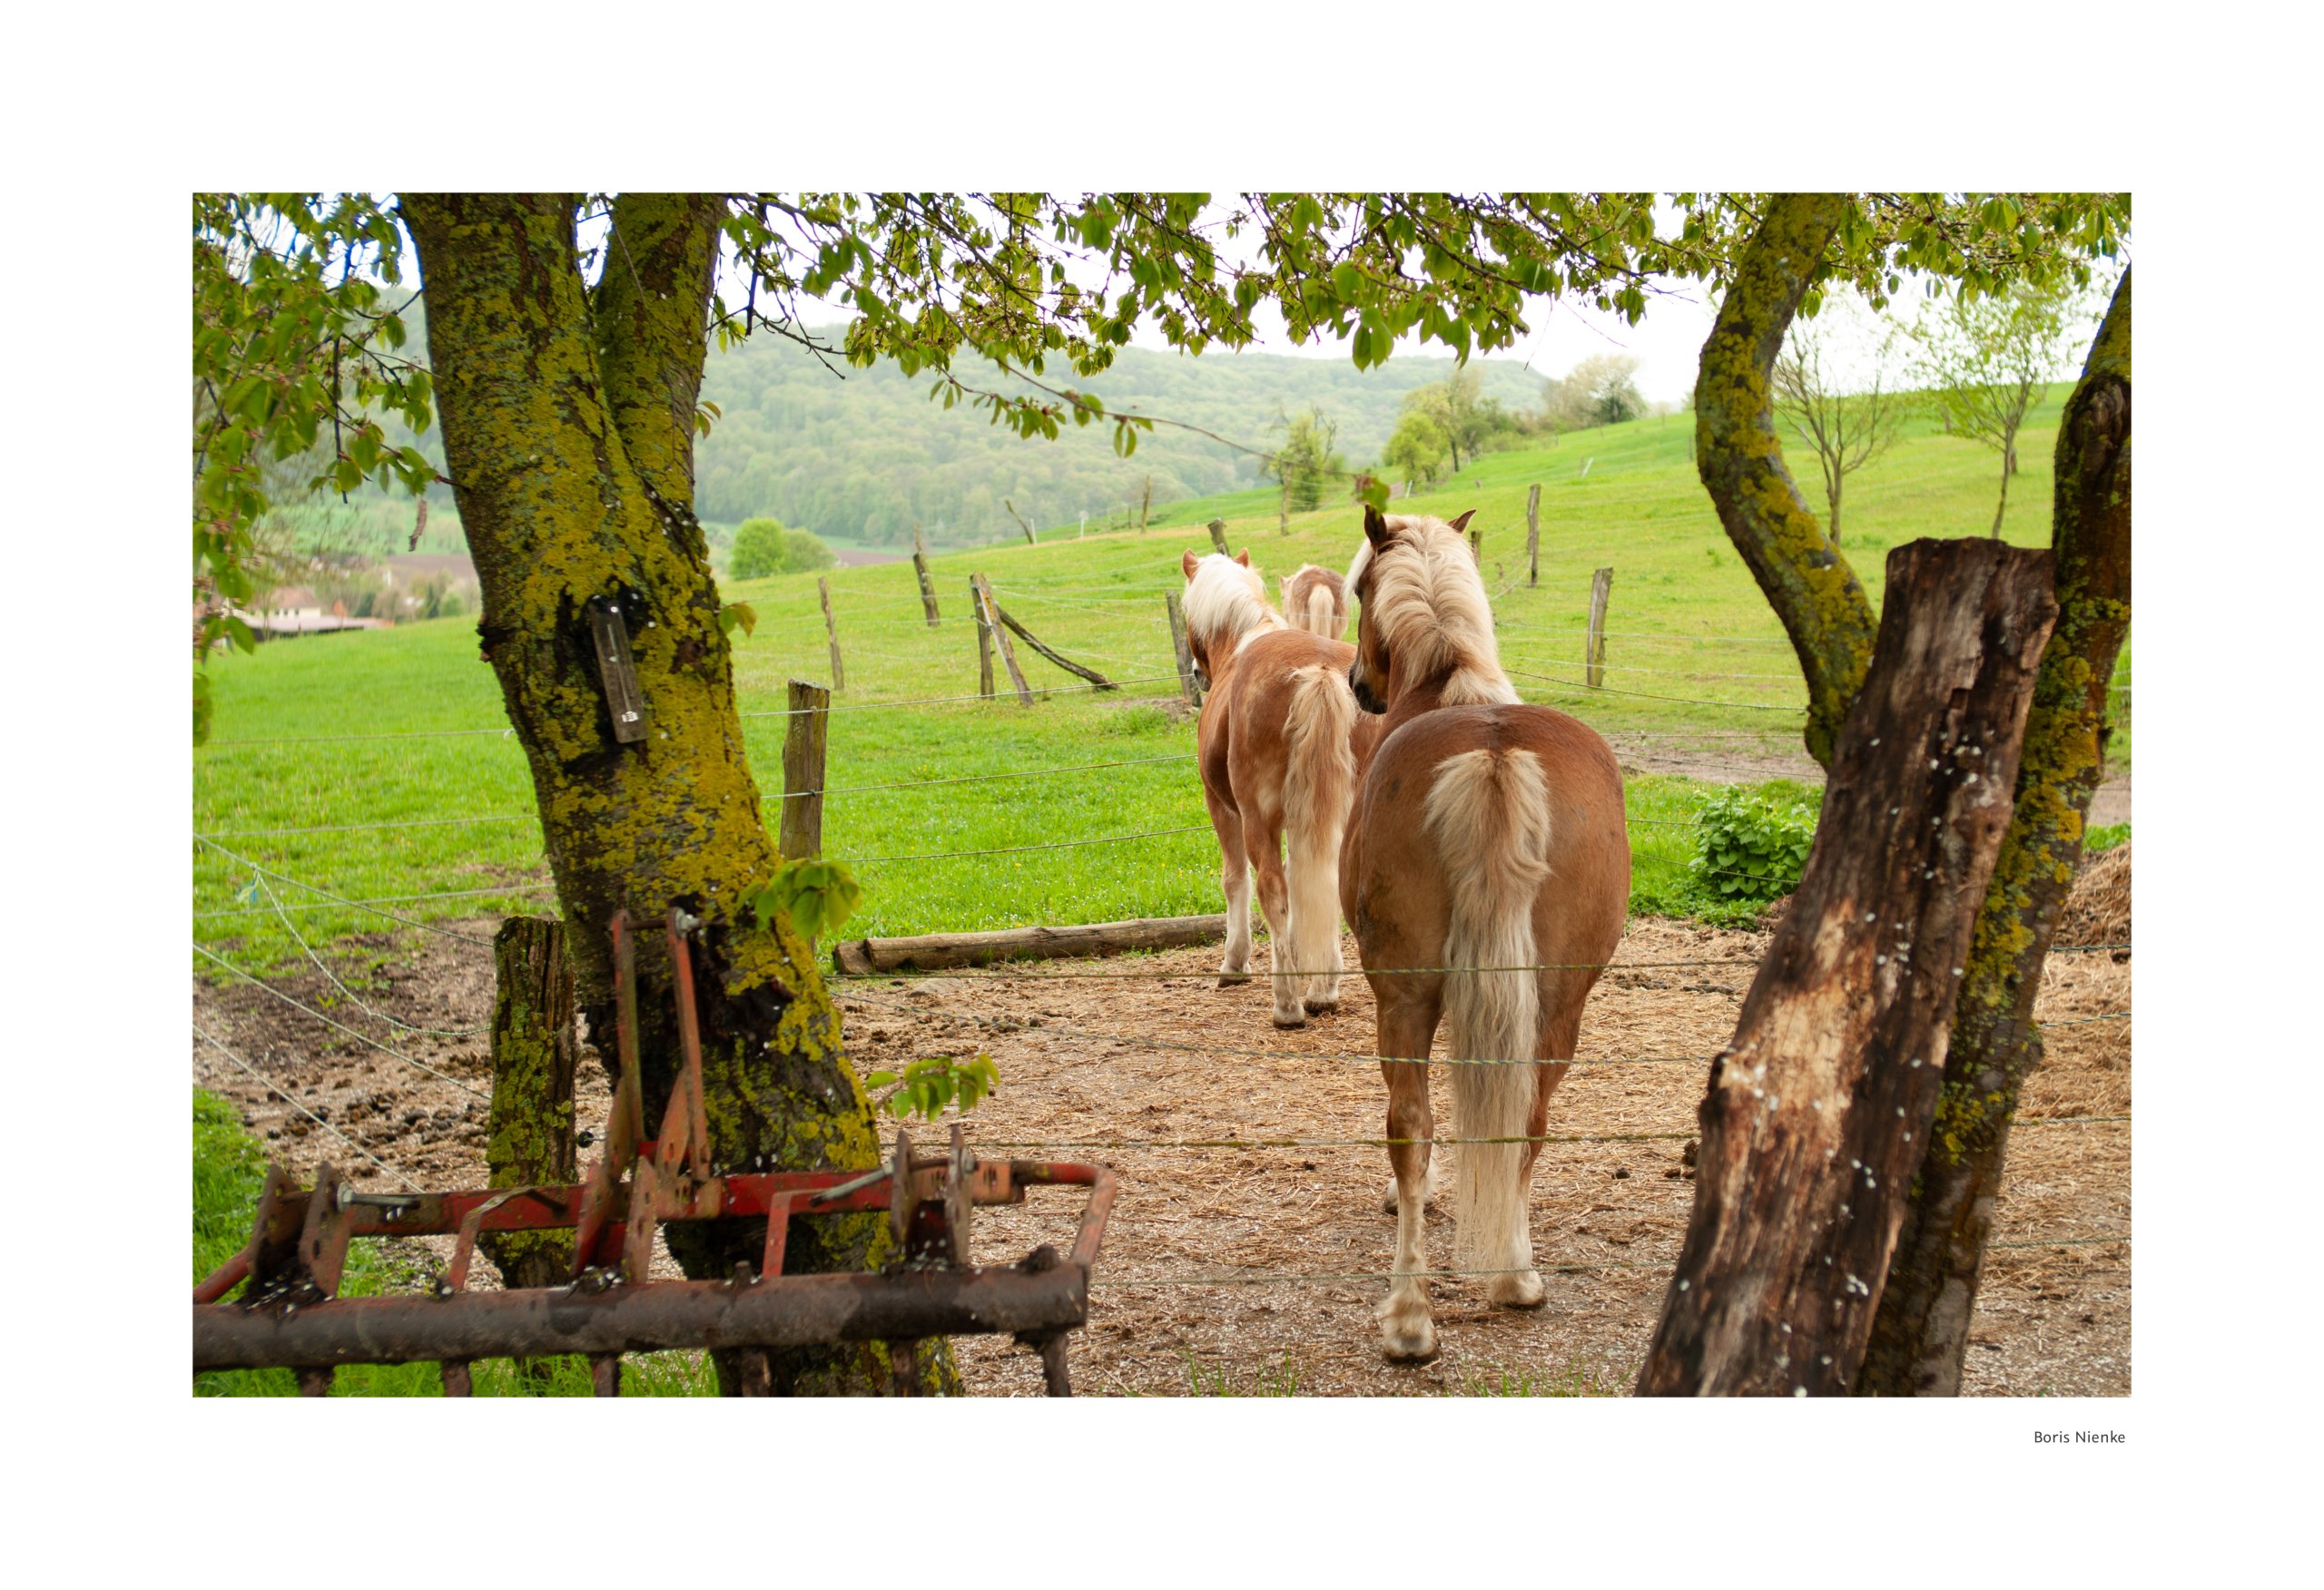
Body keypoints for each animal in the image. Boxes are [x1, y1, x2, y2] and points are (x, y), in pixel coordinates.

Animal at [1182, 547, 1383, 1028]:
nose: (1197, 671)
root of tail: (1321, 671)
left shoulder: (1223, 808)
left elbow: (1236, 881)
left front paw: (1235, 963)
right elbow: (1303, 878)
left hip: (1257, 818)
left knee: (1270, 888)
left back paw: (1287, 1004)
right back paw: (1323, 989)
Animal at [1338, 507, 1631, 1362]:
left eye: (1358, 589)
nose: (1359, 685)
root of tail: (1494, 754)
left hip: (1402, 998)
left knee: (1410, 1127)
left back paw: (1410, 1318)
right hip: (1558, 1003)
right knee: (1527, 1120)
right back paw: (1516, 1278)